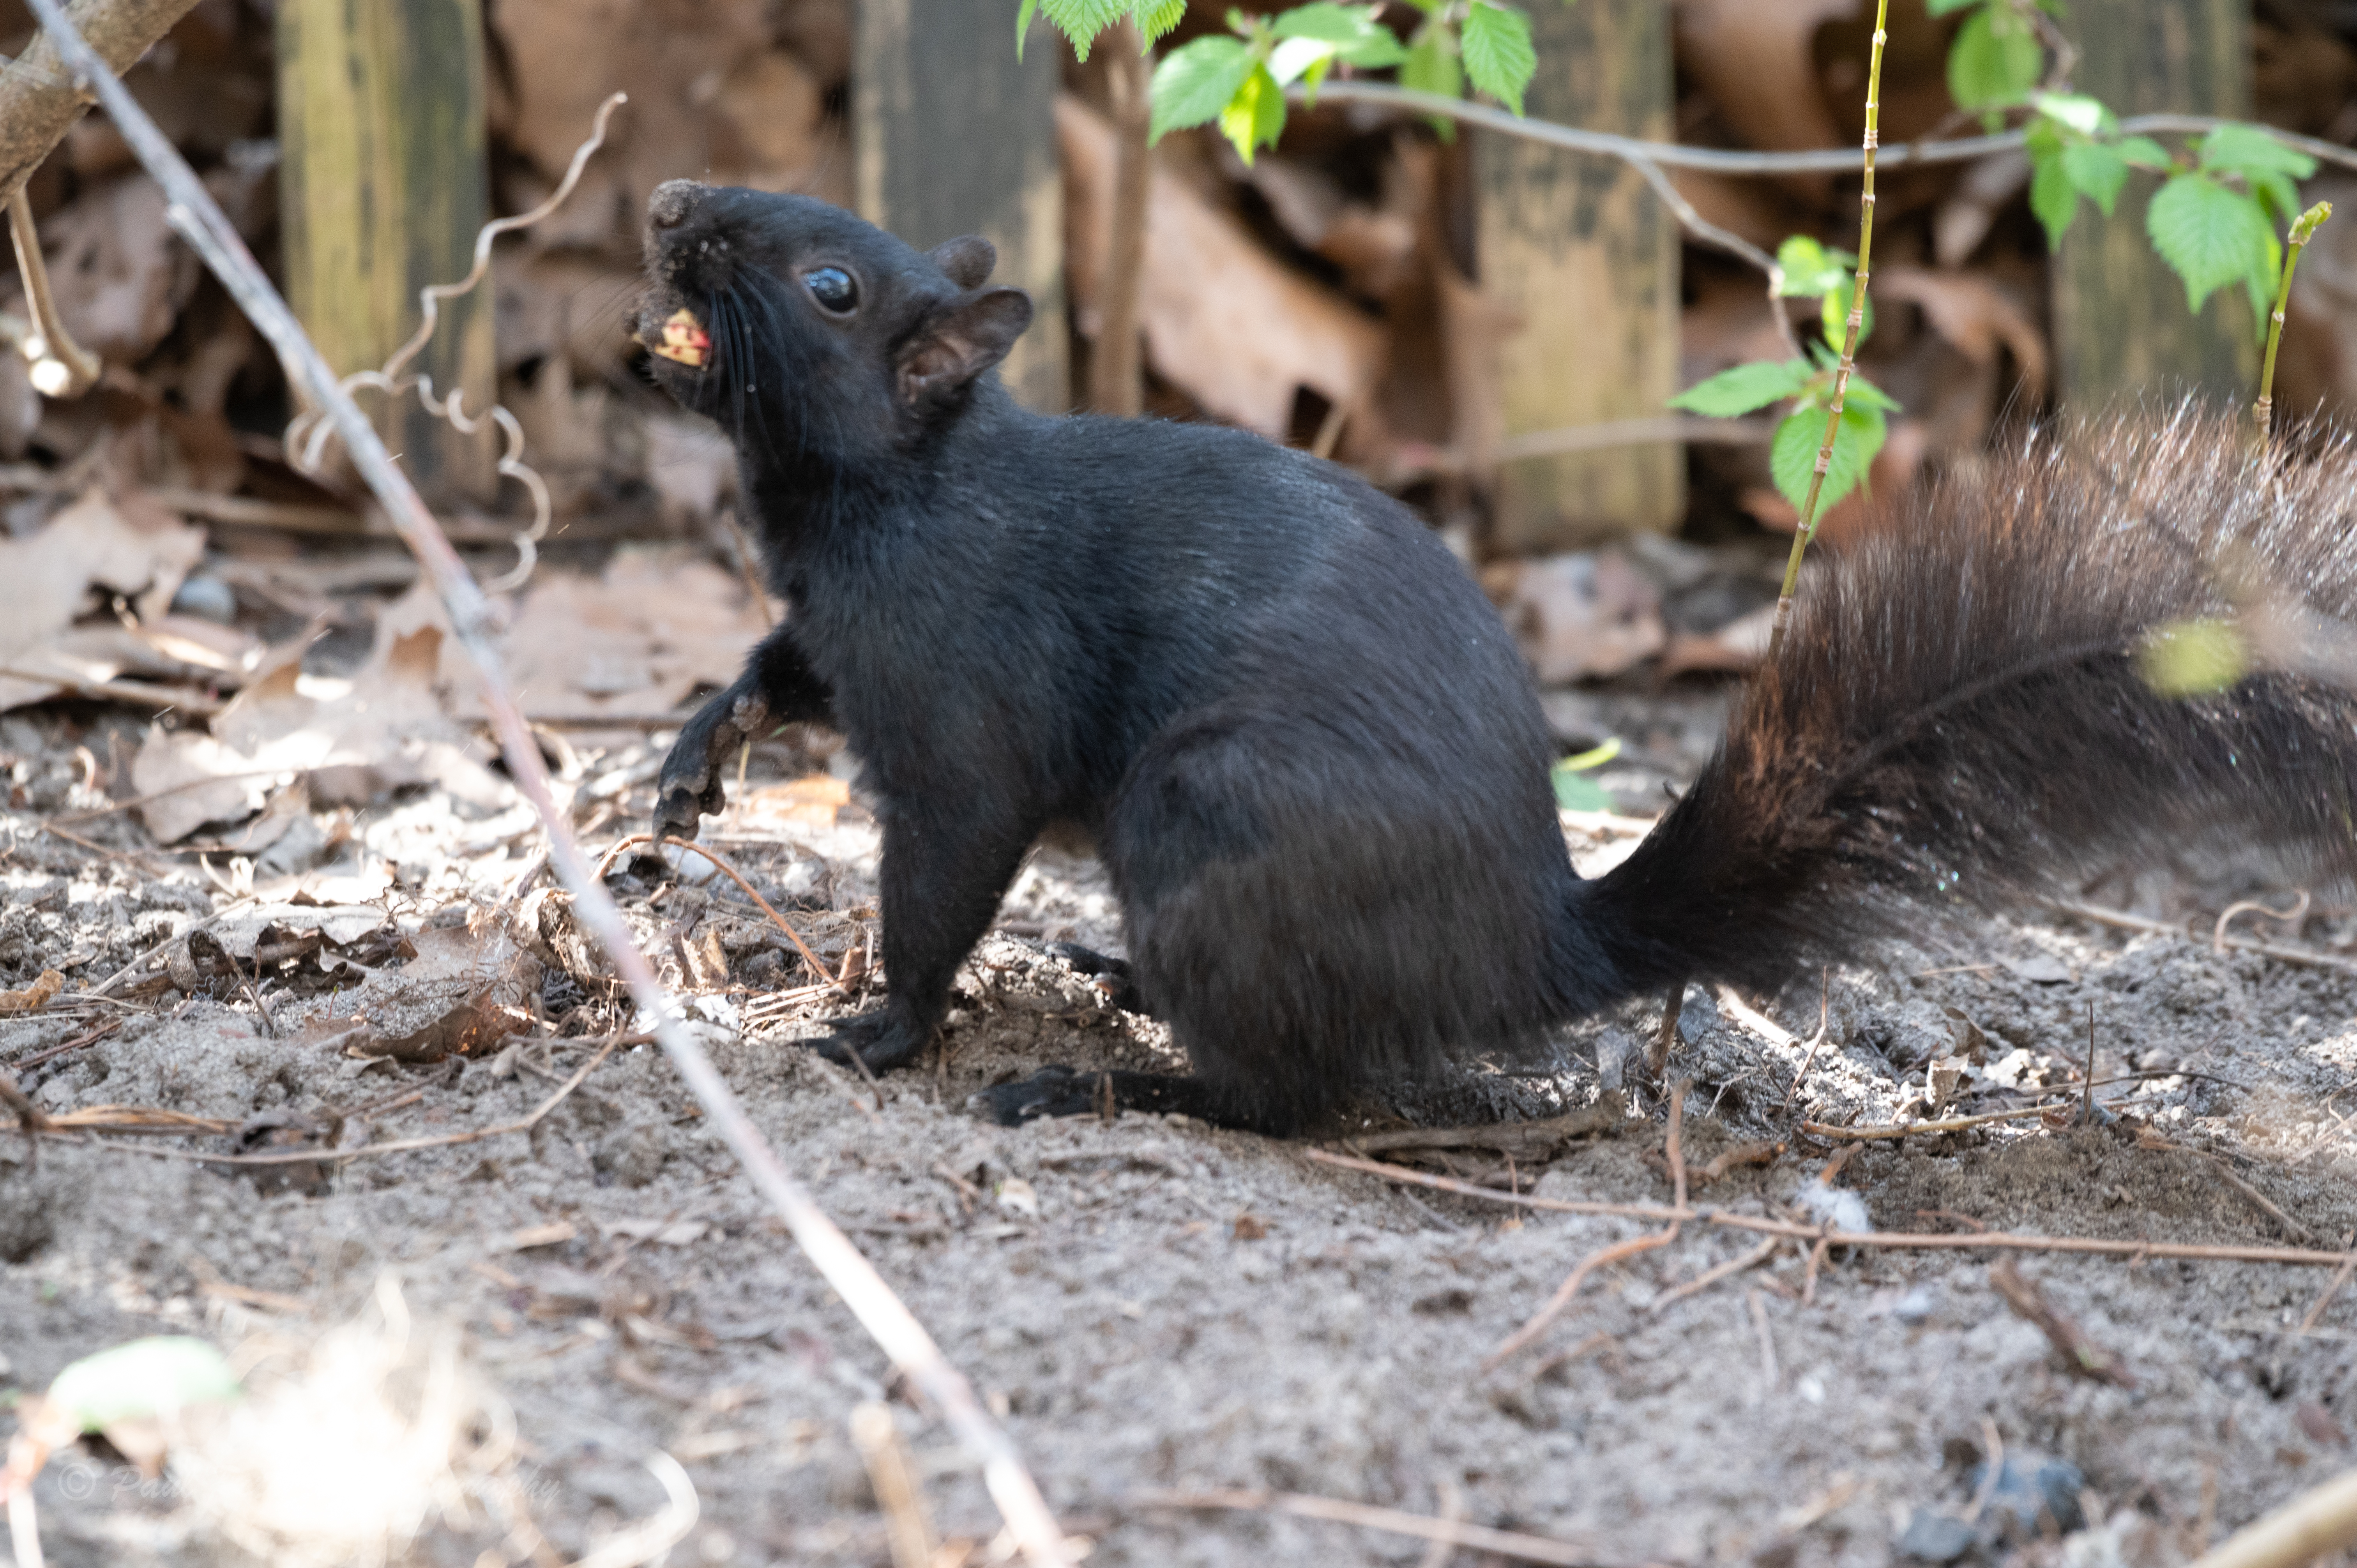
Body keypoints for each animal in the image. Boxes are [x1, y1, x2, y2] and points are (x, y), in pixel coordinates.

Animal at [636, 178, 2357, 1135]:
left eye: (831, 287)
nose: (666, 204)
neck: (890, 493)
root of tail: (1532, 945)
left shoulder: (962, 686)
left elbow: (945, 866)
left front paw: (880, 1026)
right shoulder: (837, 629)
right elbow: (779, 665)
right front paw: (693, 756)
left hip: (1217, 814)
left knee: (1289, 1100)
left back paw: (1112, 1082)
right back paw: (1113, 980)